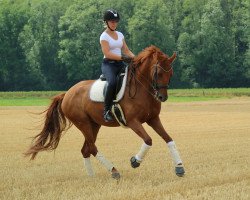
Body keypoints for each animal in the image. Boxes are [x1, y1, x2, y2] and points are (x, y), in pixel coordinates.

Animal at [25, 45, 185, 180]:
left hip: (94, 125)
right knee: (91, 147)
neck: (142, 88)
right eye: (158, 73)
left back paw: (92, 176)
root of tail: (67, 93)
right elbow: (148, 140)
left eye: (171, 73)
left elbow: (169, 139)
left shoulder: (153, 119)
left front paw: (179, 167)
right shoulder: (133, 121)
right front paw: (135, 161)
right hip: (83, 123)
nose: (162, 97)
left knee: (86, 149)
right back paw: (114, 171)